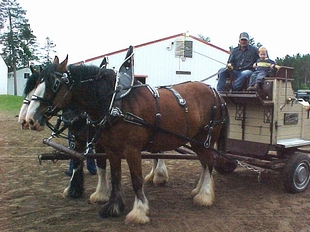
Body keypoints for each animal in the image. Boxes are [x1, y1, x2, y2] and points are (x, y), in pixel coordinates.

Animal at [26, 55, 229, 224]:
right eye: (37, 83)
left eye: (55, 84)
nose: (29, 119)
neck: (114, 103)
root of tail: (217, 94)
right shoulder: (111, 149)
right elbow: (114, 176)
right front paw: (113, 206)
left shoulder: (132, 150)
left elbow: (136, 179)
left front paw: (139, 212)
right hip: (196, 141)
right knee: (204, 164)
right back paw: (199, 190)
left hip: (206, 140)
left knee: (209, 163)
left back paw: (204, 196)